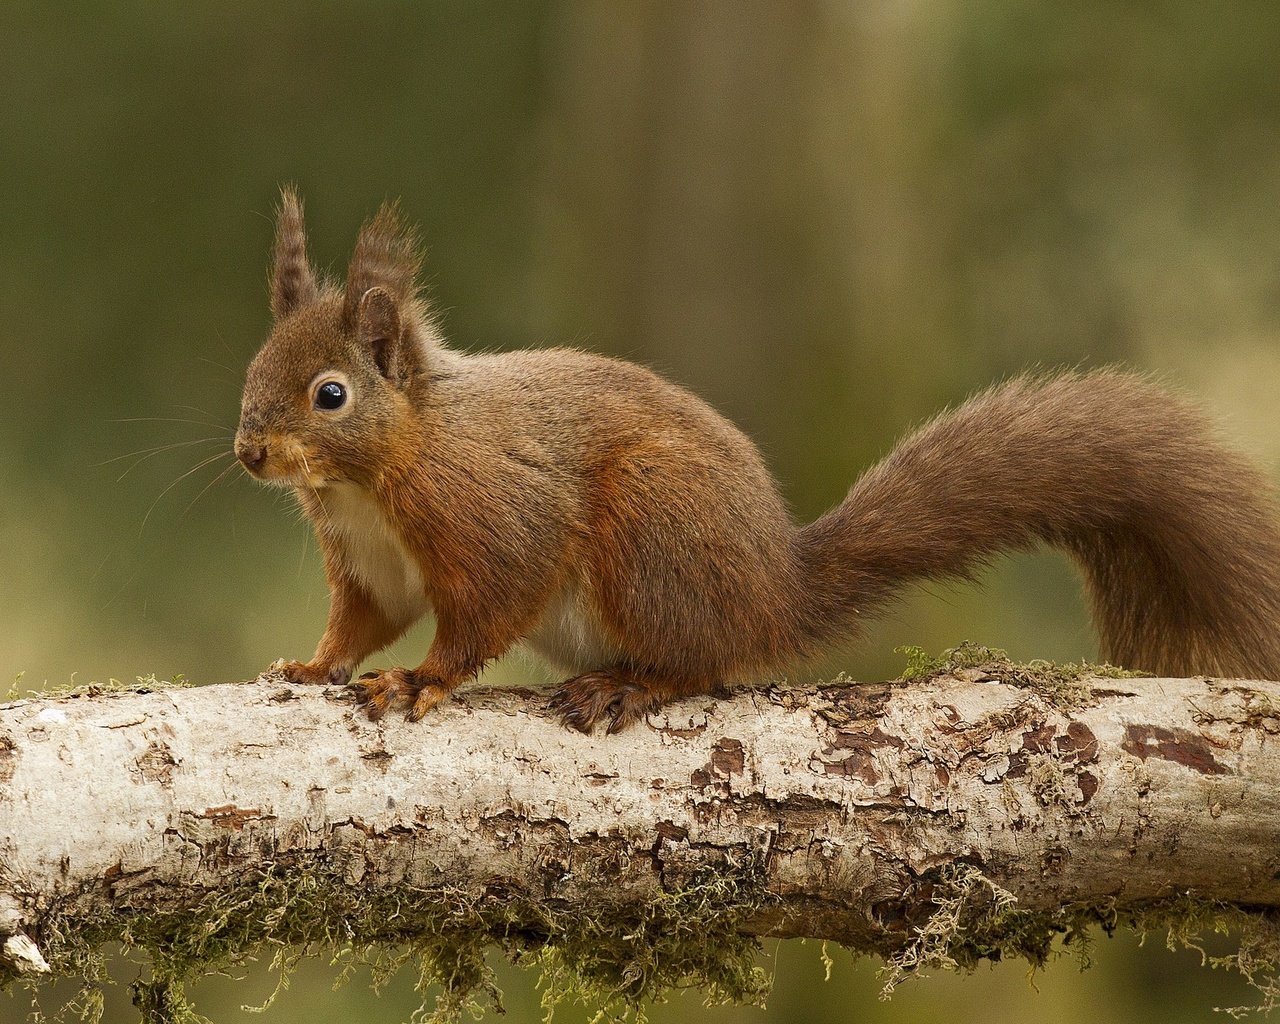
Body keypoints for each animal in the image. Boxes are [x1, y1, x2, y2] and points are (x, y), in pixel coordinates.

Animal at [235, 189, 1280, 737]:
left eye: (330, 395)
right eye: (252, 369)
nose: (249, 454)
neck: (368, 482)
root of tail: (777, 588)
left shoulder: (487, 509)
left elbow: (488, 602)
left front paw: (423, 681)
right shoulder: (369, 561)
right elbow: (365, 620)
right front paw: (312, 664)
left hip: (651, 536)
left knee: (702, 663)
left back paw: (632, 683)